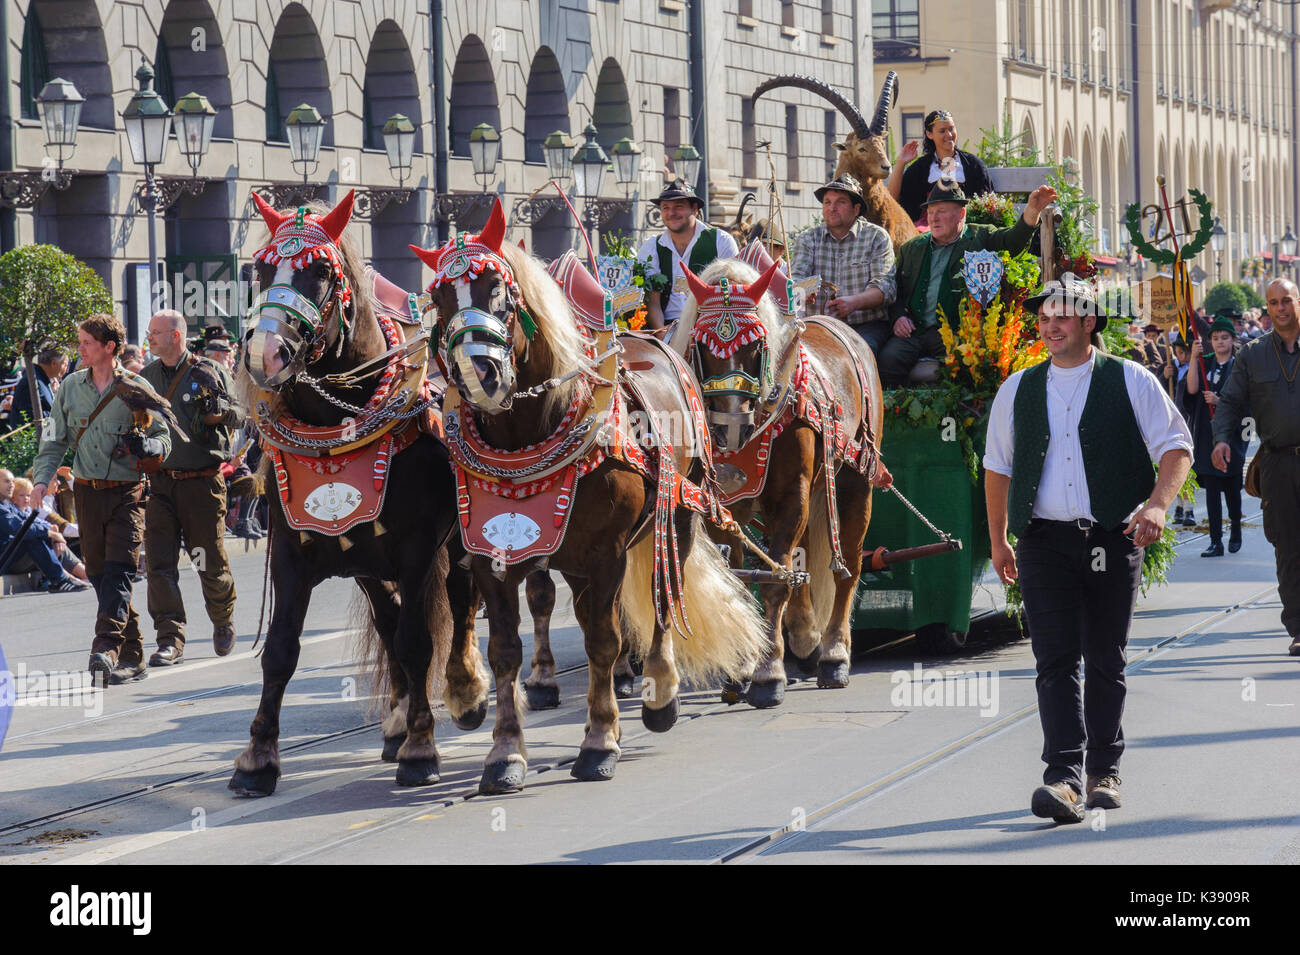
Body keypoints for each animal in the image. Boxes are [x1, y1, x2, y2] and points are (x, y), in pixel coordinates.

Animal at [676, 254, 889, 712]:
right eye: (702, 347)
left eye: (755, 346)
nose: (731, 429)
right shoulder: (727, 505)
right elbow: (744, 580)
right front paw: (741, 666)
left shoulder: (793, 494)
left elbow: (774, 582)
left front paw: (768, 672)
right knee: (802, 557)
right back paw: (807, 636)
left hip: (855, 481)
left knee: (848, 564)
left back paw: (833, 653)